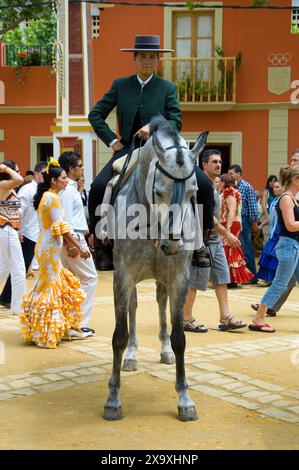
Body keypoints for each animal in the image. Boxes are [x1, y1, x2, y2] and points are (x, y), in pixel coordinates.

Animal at [103, 115, 209, 420]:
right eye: (159, 191)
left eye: (193, 193)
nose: (172, 243)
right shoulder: (123, 276)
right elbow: (119, 335)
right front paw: (113, 399)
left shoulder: (179, 278)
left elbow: (179, 337)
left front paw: (184, 399)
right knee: (134, 308)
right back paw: (131, 355)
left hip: (162, 277)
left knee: (161, 302)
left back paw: (164, 351)